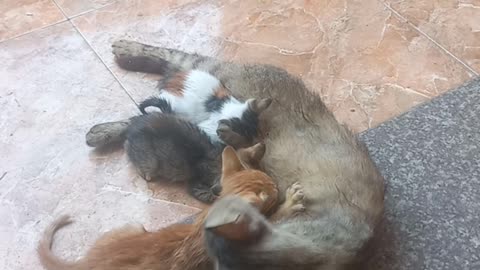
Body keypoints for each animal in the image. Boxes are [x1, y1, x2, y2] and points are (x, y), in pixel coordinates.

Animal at [37, 147, 302, 270]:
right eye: (274, 191)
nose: (279, 186)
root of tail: (84, 262)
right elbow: (275, 220)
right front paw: (290, 202)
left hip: (134, 227)